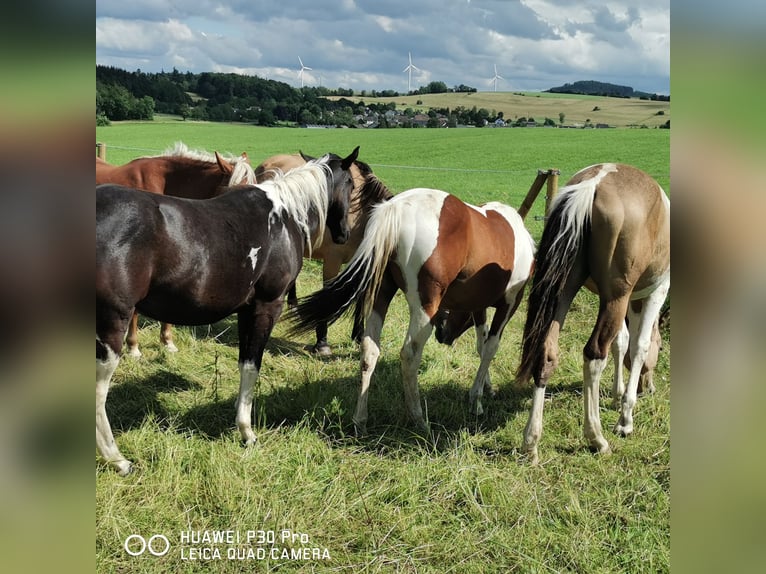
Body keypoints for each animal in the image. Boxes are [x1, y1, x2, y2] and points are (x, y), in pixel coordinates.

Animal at [287, 188, 535, 435]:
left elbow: (481, 346)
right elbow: (491, 347)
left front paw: (485, 389)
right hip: (424, 308)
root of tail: (395, 209)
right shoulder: (509, 303)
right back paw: (418, 419)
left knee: (369, 350)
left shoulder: (478, 304)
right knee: (409, 354)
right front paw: (476, 400)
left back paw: (360, 420)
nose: (443, 335)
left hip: (381, 294)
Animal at [516, 163, 670, 464]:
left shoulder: (625, 300)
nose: (649, 387)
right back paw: (596, 438)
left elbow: (621, 343)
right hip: (615, 298)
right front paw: (625, 418)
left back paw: (531, 441)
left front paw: (618, 394)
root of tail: (593, 184)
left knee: (546, 352)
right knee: (594, 354)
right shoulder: (653, 292)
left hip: (566, 290)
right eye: (662, 349)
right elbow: (639, 347)